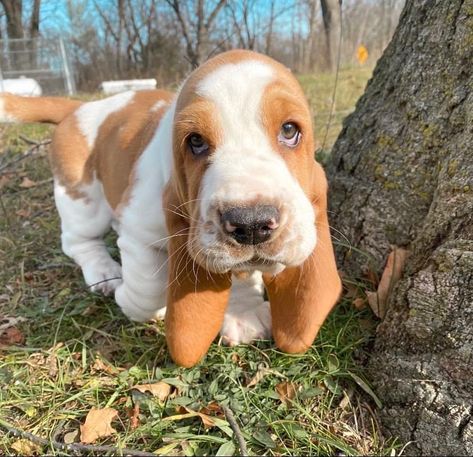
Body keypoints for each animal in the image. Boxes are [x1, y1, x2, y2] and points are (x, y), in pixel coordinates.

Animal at [0, 48, 340, 366]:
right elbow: (147, 288)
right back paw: (105, 274)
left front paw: (244, 312)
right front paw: (130, 299)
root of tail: (79, 107)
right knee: (77, 241)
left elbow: (241, 271)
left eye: (289, 130)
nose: (252, 223)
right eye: (195, 142)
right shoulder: (138, 231)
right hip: (82, 200)